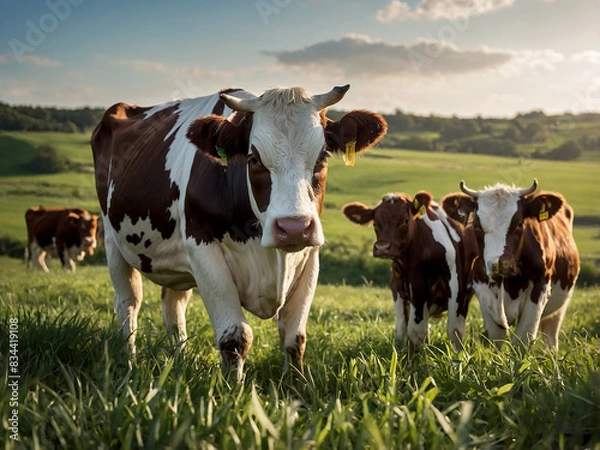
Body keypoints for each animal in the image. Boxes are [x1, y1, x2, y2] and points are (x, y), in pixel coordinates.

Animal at [91, 83, 386, 380]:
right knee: (128, 303)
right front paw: (233, 389)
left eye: (323, 156)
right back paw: (129, 364)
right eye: (253, 159)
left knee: (173, 306)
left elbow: (294, 338)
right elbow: (235, 337)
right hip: (112, 240)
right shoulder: (202, 249)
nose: (293, 228)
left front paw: (295, 387)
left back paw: (180, 361)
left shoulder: (309, 254)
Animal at [342, 190, 478, 352]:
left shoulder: (457, 284)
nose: (382, 247)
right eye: (375, 223)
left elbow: (455, 331)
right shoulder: (400, 285)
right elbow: (407, 329)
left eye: (406, 220)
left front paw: (458, 356)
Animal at [440, 181, 580, 350]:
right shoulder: (482, 288)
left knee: (551, 336)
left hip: (559, 308)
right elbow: (496, 338)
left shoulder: (540, 287)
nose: (501, 264)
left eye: (519, 224)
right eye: (476, 226)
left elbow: (523, 339)